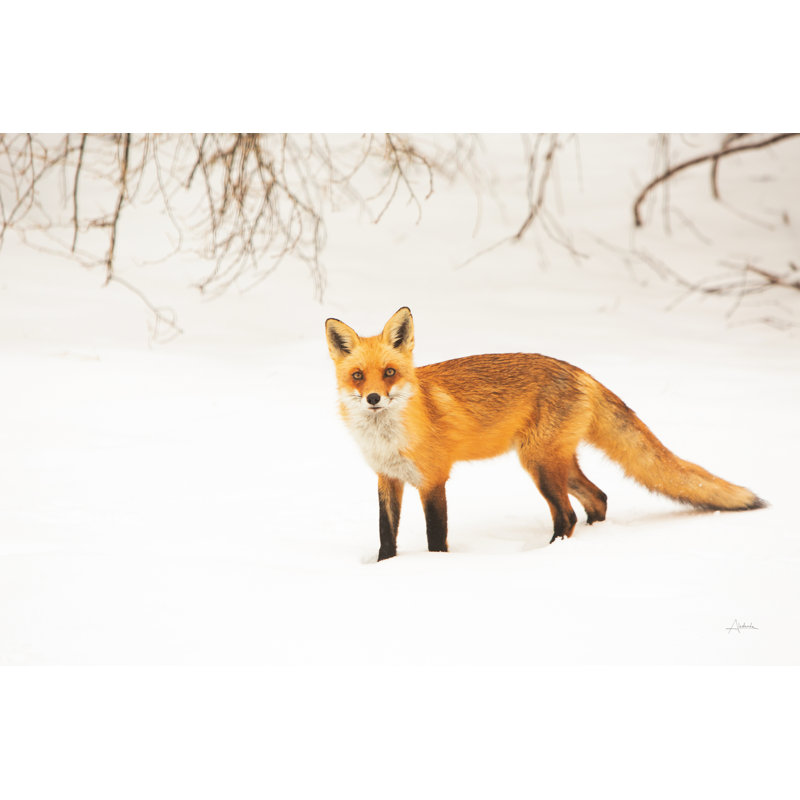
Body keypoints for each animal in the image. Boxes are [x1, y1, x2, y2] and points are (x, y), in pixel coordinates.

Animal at [325, 307, 765, 561]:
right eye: (358, 376)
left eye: (390, 372)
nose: (374, 398)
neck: (387, 439)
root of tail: (579, 371)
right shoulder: (388, 479)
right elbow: (386, 536)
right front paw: (385, 569)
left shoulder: (433, 479)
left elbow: (437, 537)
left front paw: (434, 570)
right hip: (555, 463)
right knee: (599, 499)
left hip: (539, 465)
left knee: (567, 514)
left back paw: (545, 559)